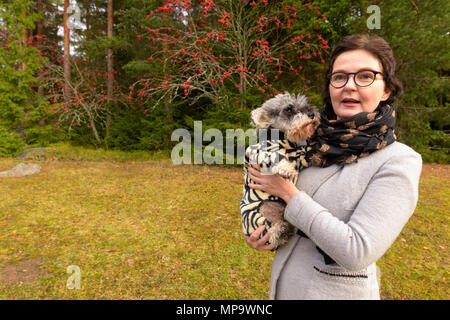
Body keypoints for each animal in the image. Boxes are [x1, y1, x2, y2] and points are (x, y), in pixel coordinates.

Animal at [239, 92, 320, 248]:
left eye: (304, 104)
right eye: (288, 109)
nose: (312, 114)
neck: (284, 140)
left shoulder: (298, 157)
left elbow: (304, 155)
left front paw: (319, 155)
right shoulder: (258, 153)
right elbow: (276, 158)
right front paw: (287, 169)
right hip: (260, 213)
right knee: (271, 233)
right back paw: (281, 230)